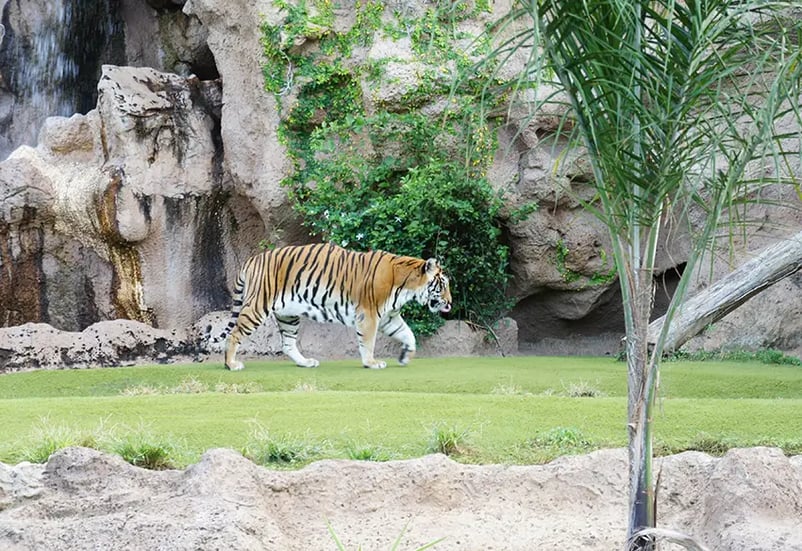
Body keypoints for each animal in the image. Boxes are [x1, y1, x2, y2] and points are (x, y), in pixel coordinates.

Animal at [220, 243, 450, 368]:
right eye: (443, 284)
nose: (450, 303)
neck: (406, 287)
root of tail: (253, 259)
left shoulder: (389, 317)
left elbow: (408, 334)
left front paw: (405, 356)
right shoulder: (369, 314)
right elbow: (368, 342)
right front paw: (371, 363)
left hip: (288, 315)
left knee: (288, 344)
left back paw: (305, 362)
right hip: (258, 306)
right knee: (234, 334)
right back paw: (231, 364)